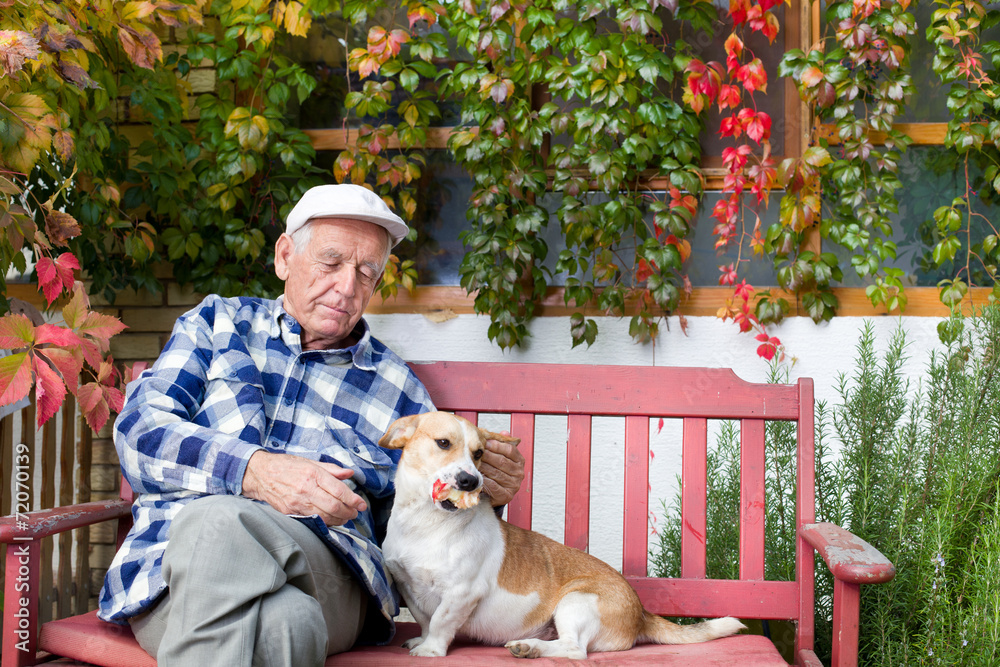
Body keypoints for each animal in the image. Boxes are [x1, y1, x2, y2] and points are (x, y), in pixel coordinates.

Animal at [378, 412, 748, 656]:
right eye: (443, 443)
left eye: (479, 453)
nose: (471, 481)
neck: (426, 524)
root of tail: (642, 614)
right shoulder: (407, 587)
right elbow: (426, 620)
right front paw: (422, 641)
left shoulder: (461, 593)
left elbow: (441, 622)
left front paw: (430, 651)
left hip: (574, 603)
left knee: (574, 650)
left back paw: (530, 647)